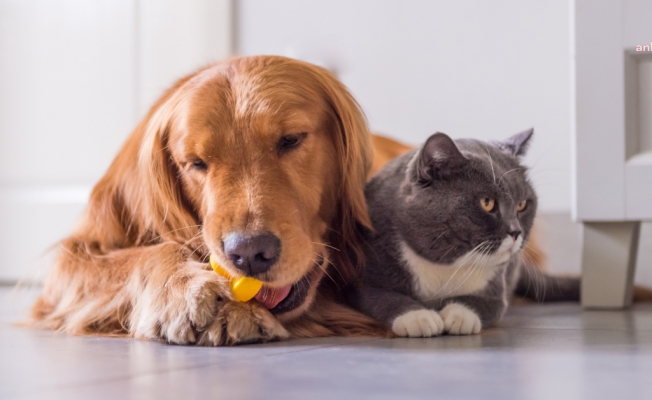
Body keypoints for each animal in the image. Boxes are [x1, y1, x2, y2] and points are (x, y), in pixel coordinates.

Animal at [348, 130, 580, 336]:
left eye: (522, 205)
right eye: (487, 203)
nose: (516, 231)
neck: (446, 267)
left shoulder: (497, 288)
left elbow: (486, 304)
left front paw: (458, 315)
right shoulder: (363, 279)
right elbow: (383, 297)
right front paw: (419, 317)